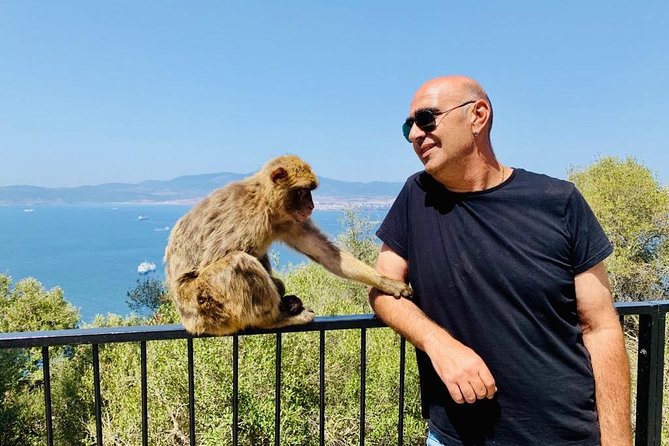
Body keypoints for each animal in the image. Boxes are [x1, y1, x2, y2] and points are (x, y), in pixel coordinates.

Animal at [163, 155, 412, 332]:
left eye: (310, 192)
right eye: (302, 191)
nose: (312, 205)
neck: (266, 203)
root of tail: (189, 322)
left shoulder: (289, 220)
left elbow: (326, 253)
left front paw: (387, 283)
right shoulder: (247, 218)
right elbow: (212, 261)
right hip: (202, 305)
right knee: (237, 262)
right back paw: (273, 319)